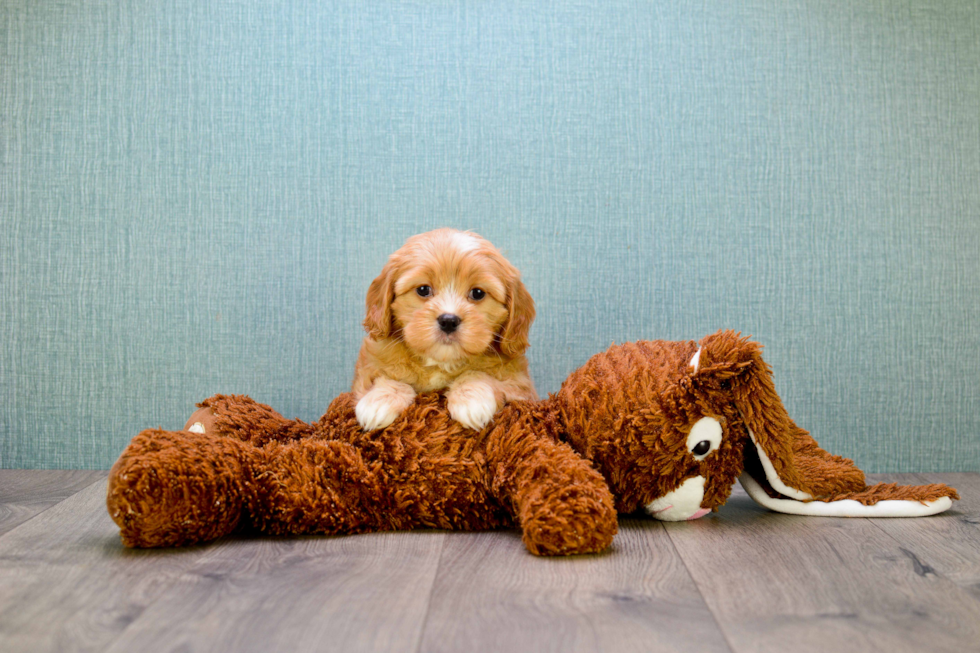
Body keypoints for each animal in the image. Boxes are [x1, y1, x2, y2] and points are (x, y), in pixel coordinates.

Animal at [352, 229, 536, 432]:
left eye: (478, 293)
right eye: (423, 289)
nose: (448, 321)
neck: (440, 363)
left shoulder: (521, 388)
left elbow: (477, 374)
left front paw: (471, 400)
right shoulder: (368, 369)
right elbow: (390, 378)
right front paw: (378, 401)